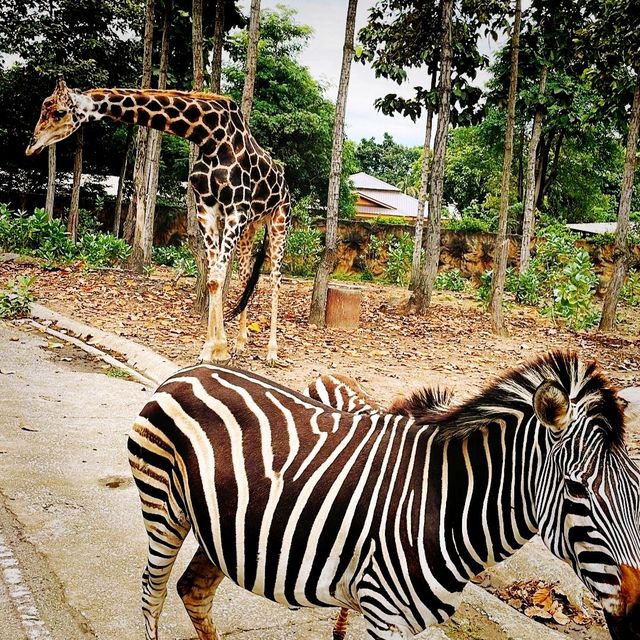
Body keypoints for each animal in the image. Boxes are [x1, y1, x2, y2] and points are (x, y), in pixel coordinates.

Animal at [26, 77, 292, 362]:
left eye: (59, 112)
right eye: (43, 107)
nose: (32, 146)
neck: (208, 136)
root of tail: (286, 186)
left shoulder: (235, 210)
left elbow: (217, 277)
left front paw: (217, 349)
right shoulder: (207, 210)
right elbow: (212, 278)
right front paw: (213, 348)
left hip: (279, 222)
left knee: (275, 279)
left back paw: (272, 352)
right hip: (250, 229)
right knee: (245, 277)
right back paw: (241, 343)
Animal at [127, 352, 640, 636]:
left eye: (636, 487)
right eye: (577, 488)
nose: (636, 617)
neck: (446, 505)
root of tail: (189, 371)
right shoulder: (383, 613)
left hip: (223, 527)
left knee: (193, 591)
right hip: (164, 510)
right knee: (152, 593)